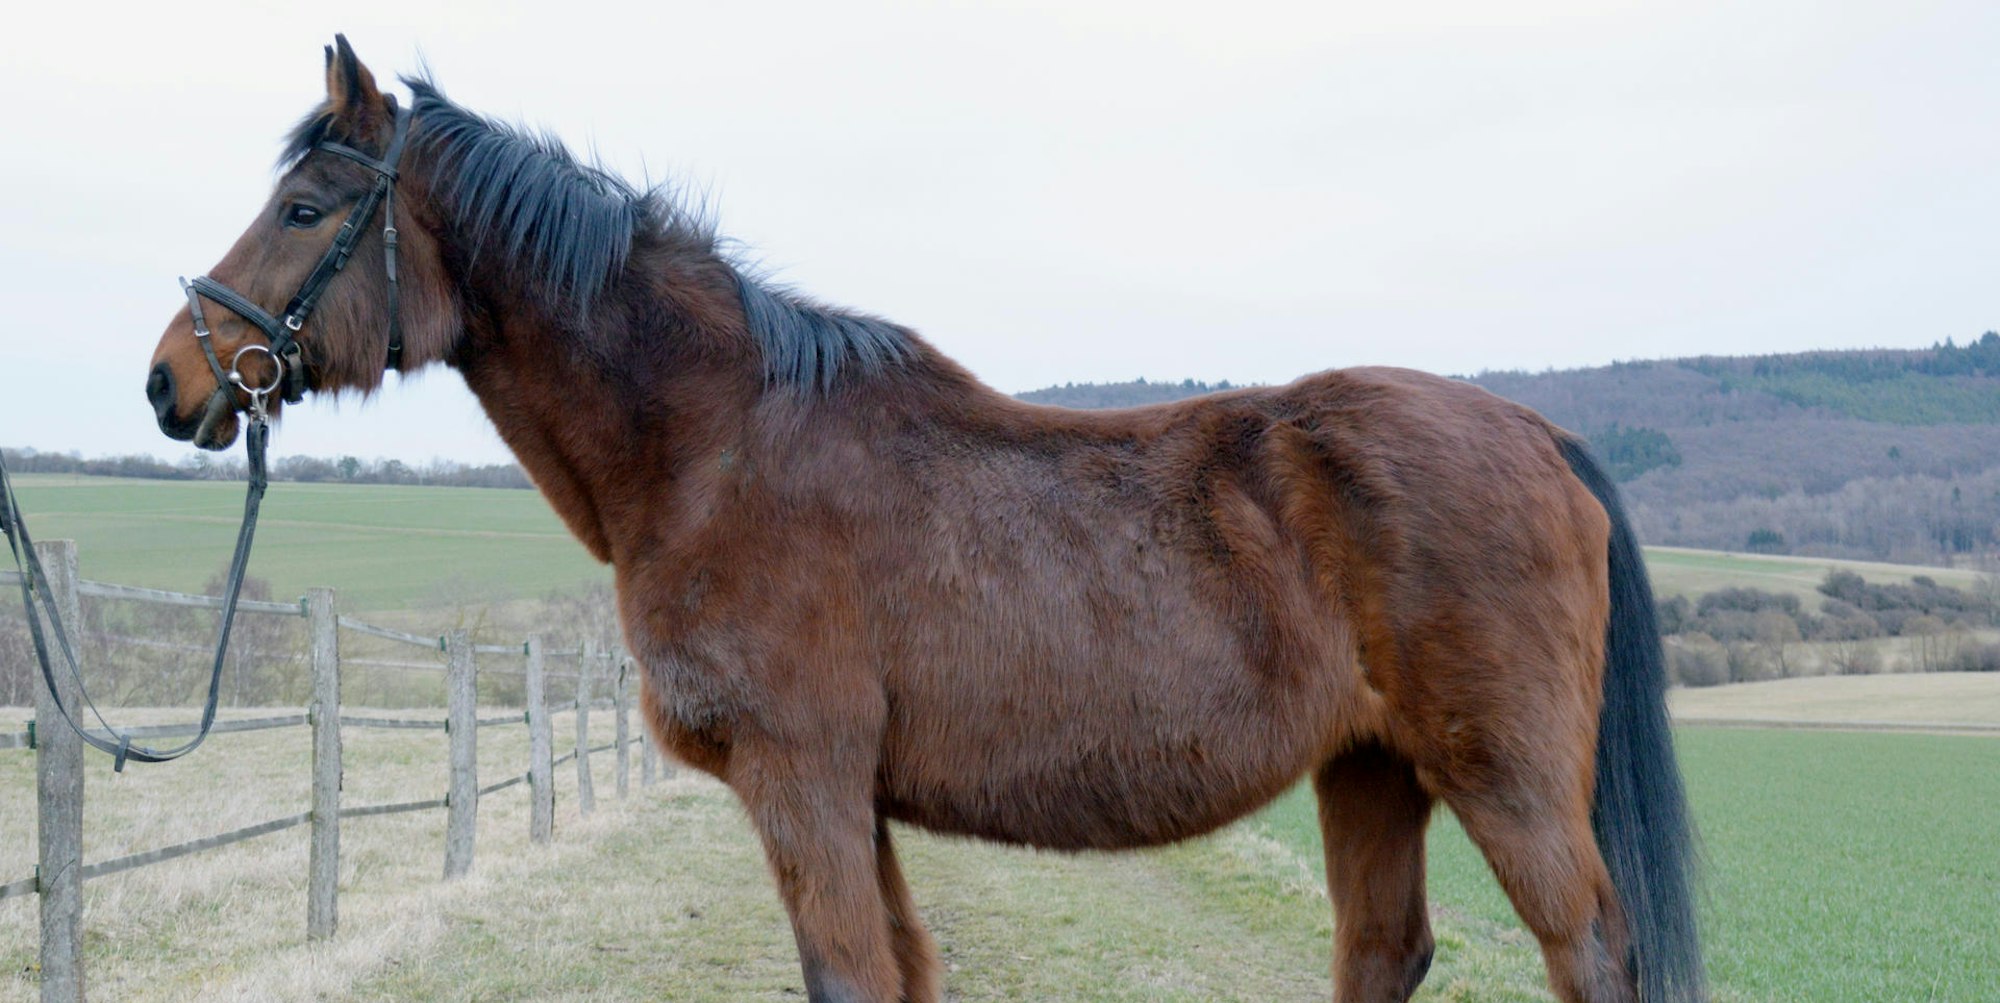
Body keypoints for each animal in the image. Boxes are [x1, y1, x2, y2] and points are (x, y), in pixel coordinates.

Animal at [144, 37, 1703, 1003]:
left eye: (303, 207)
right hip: (1370, 769)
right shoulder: (854, 798)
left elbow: (848, 973)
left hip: (1505, 779)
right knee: (1384, 949)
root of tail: (1534, 432)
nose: (171, 380)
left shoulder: (804, 781)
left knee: (1587, 951)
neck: (719, 444)